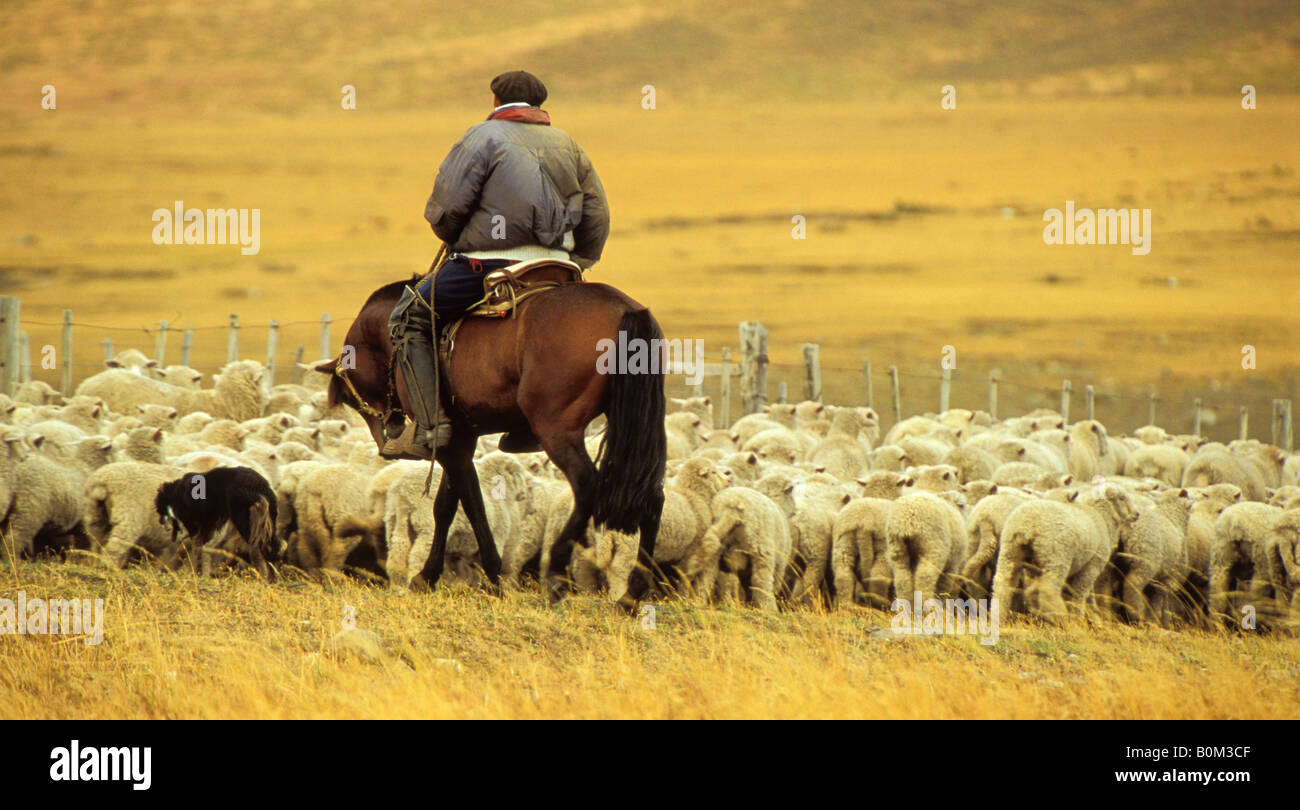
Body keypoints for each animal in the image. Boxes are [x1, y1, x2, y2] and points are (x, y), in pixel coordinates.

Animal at [314, 273, 665, 608]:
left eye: (351, 395)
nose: (388, 442)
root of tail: (624, 310)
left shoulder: (451, 444)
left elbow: (473, 505)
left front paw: (494, 576)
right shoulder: (460, 438)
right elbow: (445, 506)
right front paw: (427, 576)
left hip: (557, 430)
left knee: (589, 487)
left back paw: (556, 575)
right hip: (638, 424)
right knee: (652, 495)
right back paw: (633, 592)